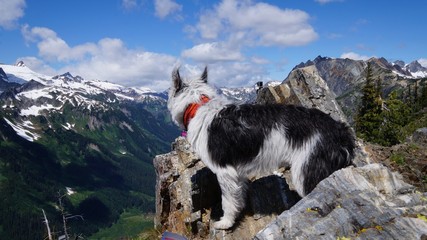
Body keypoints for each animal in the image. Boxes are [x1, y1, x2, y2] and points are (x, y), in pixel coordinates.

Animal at [168, 66, 358, 230]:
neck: (199, 106)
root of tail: (340, 130)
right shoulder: (237, 173)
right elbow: (238, 195)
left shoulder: (224, 171)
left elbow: (227, 201)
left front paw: (226, 222)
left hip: (307, 172)